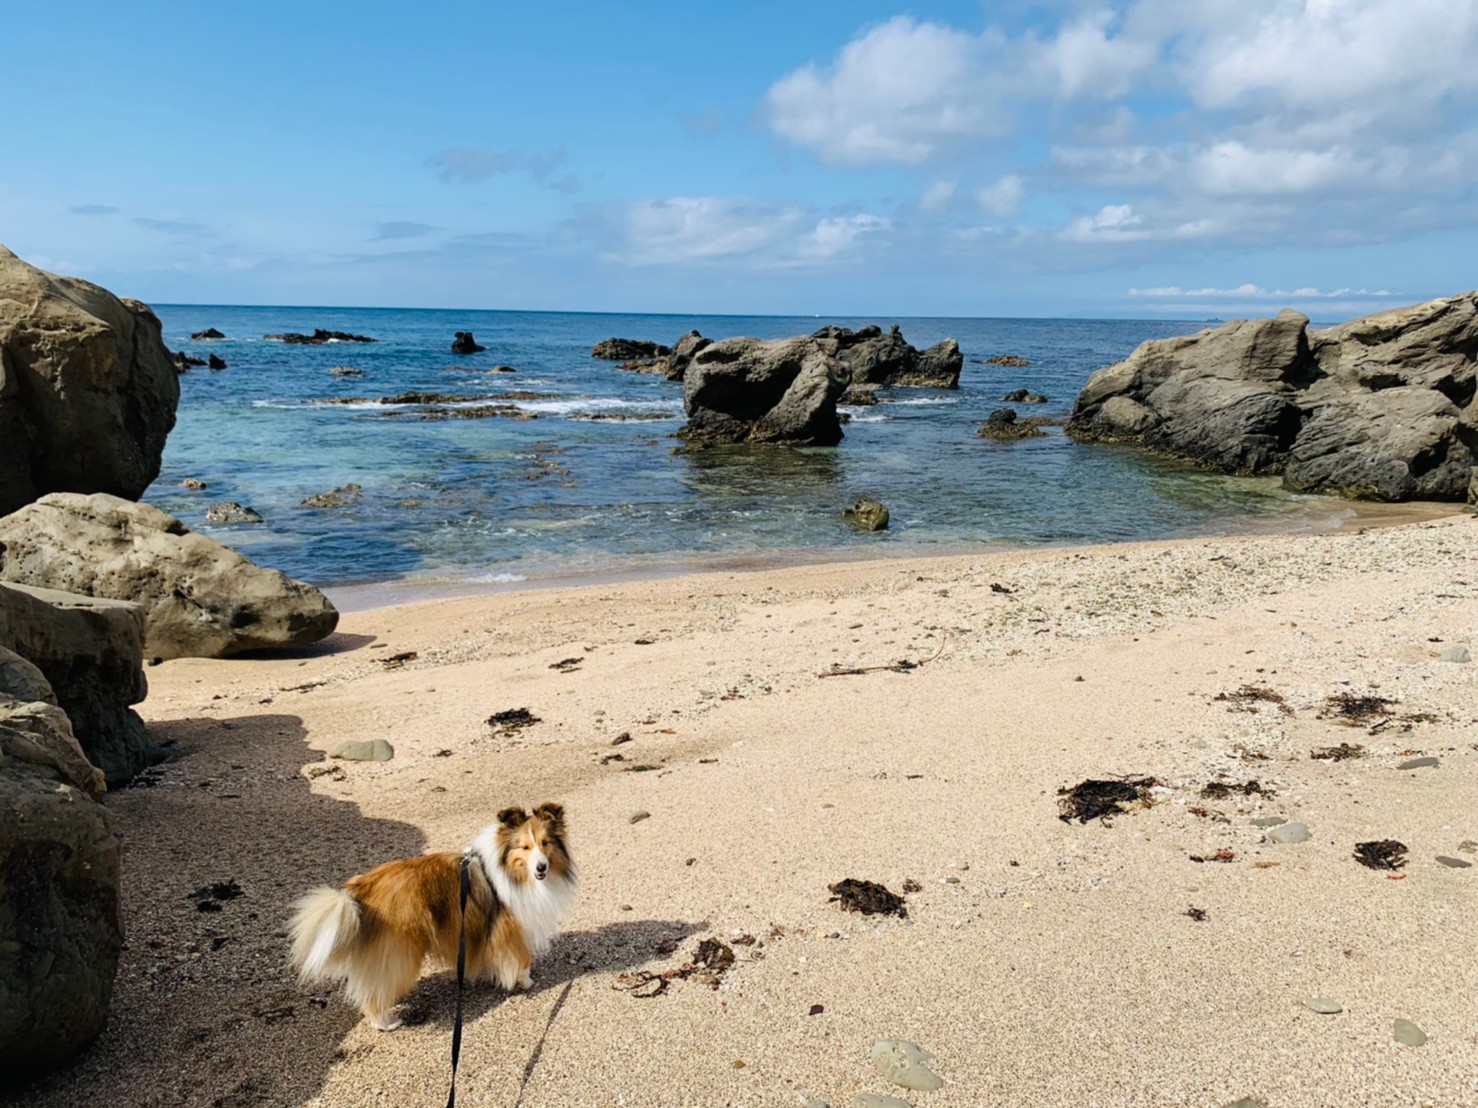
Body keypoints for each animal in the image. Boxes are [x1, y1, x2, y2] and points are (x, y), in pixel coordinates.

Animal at [285, 809, 573, 1034]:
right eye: (525, 847)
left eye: (546, 843)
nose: (541, 867)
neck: (511, 870)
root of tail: (357, 893)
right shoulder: (510, 926)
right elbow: (522, 958)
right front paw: (526, 982)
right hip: (399, 955)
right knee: (374, 995)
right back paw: (387, 1023)